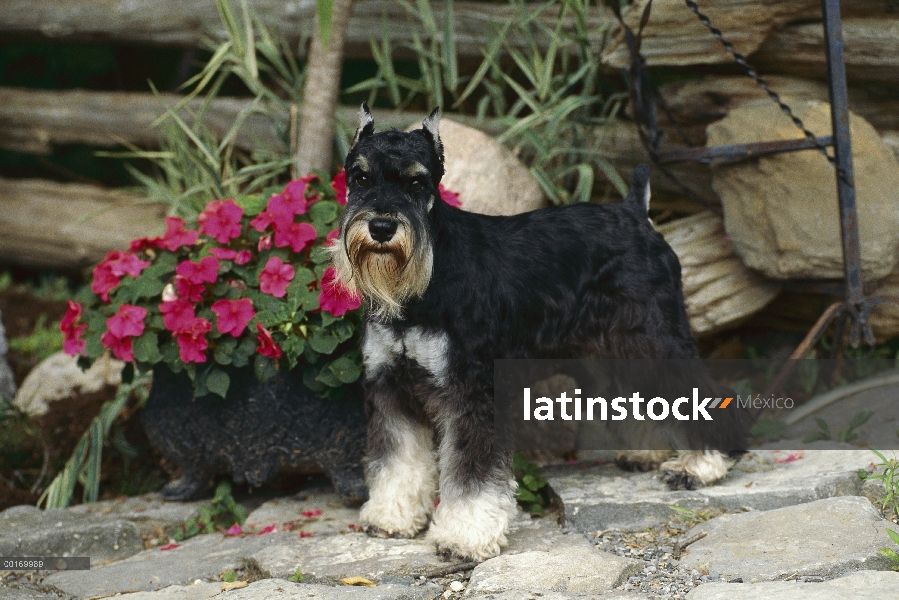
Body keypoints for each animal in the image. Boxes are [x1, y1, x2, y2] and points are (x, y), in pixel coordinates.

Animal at [330, 105, 752, 560]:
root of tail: (634, 213)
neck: (423, 284)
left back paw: (701, 467)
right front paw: (393, 516)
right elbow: (398, 460)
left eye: (416, 182)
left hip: (653, 339)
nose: (382, 227)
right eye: (360, 177)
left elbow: (472, 475)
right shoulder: (392, 389)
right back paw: (648, 453)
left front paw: (465, 535)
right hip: (611, 349)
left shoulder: (472, 393)